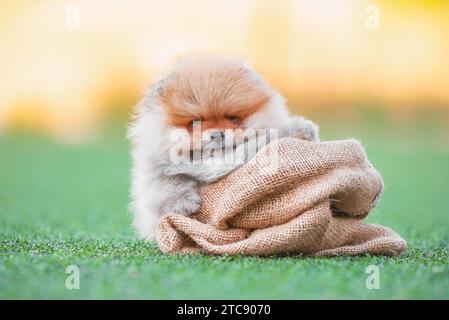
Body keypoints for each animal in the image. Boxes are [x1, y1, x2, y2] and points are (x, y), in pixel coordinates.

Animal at [127, 55, 318, 240]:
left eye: (232, 118)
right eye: (195, 122)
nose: (217, 134)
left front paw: (302, 130)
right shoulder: (156, 169)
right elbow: (167, 184)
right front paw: (182, 203)